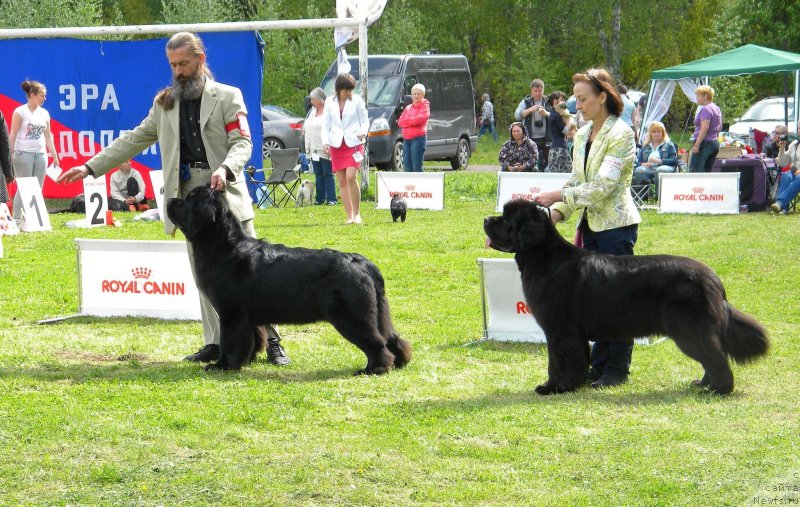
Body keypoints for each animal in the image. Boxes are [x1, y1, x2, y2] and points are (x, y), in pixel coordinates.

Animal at [484, 200, 764, 394]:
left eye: (506, 218)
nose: (486, 218)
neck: (544, 256)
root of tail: (714, 279)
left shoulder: (560, 331)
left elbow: (558, 361)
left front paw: (554, 387)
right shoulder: (571, 334)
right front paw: (574, 383)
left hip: (689, 329)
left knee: (715, 357)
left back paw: (718, 389)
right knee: (712, 355)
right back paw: (703, 384)